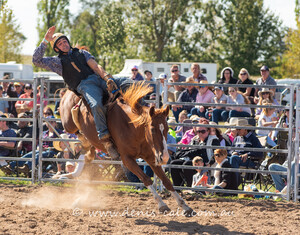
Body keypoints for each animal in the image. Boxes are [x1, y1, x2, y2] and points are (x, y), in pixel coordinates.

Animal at [59, 82, 193, 215]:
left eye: (166, 128)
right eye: (152, 129)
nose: (164, 157)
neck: (132, 128)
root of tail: (69, 91)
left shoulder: (151, 157)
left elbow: (166, 181)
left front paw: (185, 206)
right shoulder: (127, 159)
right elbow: (146, 179)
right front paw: (162, 204)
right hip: (68, 124)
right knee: (73, 129)